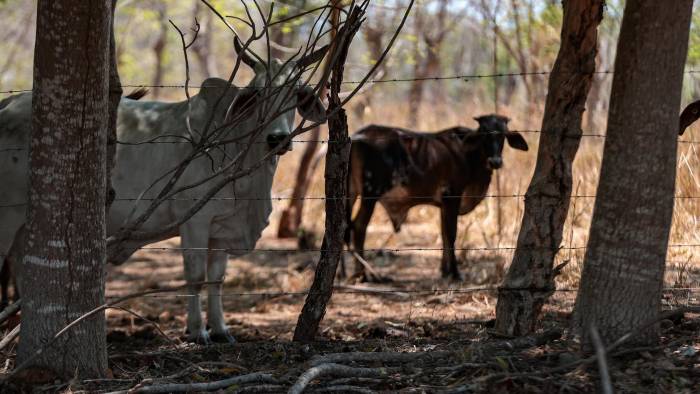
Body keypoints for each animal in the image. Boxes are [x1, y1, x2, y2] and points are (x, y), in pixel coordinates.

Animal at [0, 42, 328, 342]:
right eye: (259, 93)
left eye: (297, 94)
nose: (277, 138)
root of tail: (8, 105)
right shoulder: (195, 222)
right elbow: (195, 277)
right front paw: (197, 331)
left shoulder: (221, 227)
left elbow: (217, 279)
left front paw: (221, 330)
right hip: (9, 214)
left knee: (22, 264)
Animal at [342, 114, 528, 280]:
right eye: (483, 133)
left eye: (503, 134)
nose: (495, 161)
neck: (468, 155)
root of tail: (357, 137)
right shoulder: (452, 196)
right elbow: (451, 234)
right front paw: (455, 273)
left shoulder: (443, 205)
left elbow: (444, 234)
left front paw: (445, 271)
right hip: (370, 194)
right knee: (359, 226)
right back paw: (363, 274)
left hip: (351, 191)